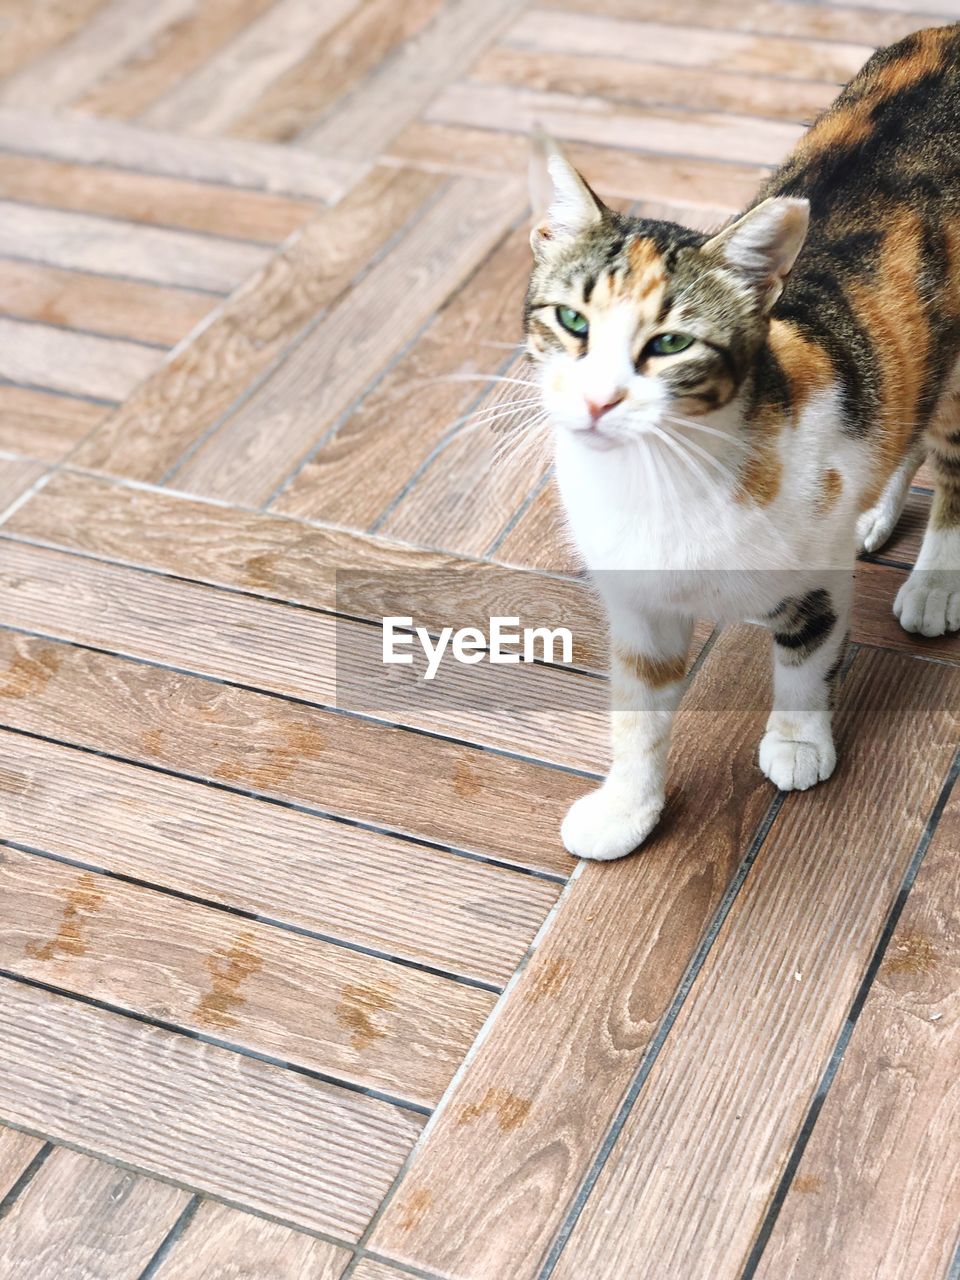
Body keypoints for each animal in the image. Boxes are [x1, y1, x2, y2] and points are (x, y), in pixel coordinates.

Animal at [527, 22, 960, 860]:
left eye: (669, 343)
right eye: (571, 321)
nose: (597, 401)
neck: (662, 478)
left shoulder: (813, 564)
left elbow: (806, 657)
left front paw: (796, 743)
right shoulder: (638, 600)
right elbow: (637, 710)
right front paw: (626, 807)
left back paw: (933, 583)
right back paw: (876, 510)